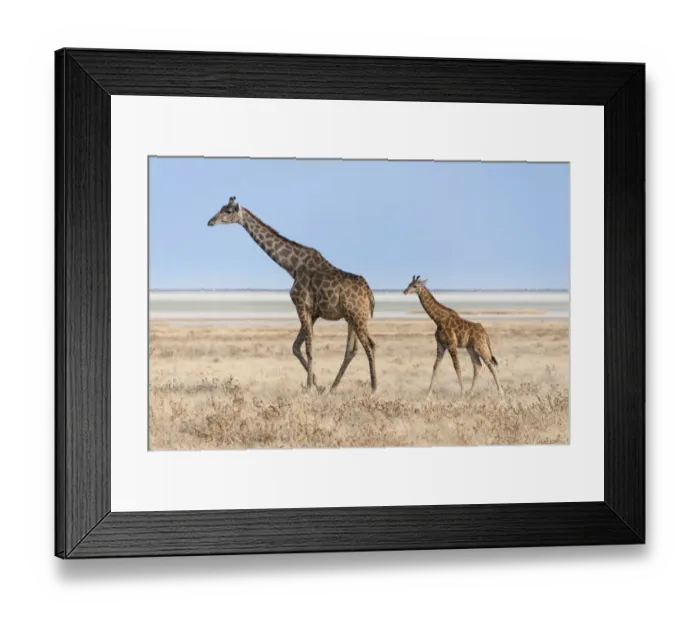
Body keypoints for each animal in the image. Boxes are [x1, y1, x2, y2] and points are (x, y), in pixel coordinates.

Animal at [207, 196, 377, 394]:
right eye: (221, 208)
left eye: (227, 211)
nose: (210, 221)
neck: (292, 266)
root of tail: (370, 294)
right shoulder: (313, 312)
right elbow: (296, 347)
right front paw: (318, 386)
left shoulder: (301, 305)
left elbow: (308, 347)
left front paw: (309, 388)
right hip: (351, 317)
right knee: (351, 350)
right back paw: (332, 388)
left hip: (358, 317)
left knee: (370, 345)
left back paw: (374, 389)